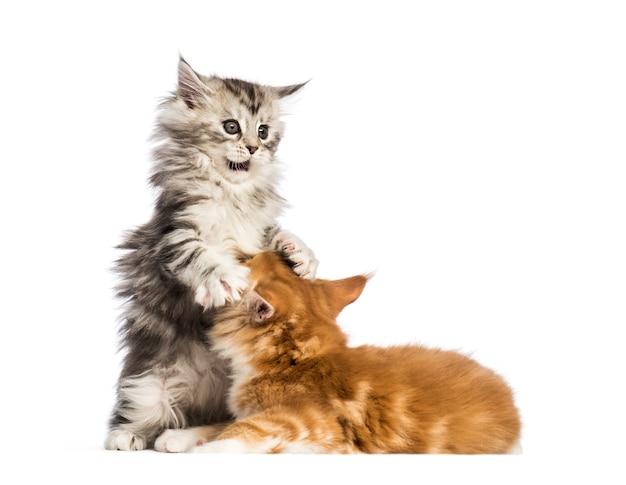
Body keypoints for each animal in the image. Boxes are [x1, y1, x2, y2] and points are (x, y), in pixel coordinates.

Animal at [106, 59, 316, 450]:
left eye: (263, 131)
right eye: (231, 127)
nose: (253, 148)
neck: (231, 195)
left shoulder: (257, 235)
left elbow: (279, 233)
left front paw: (301, 255)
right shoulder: (171, 236)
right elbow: (199, 254)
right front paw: (224, 279)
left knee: (225, 421)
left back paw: (184, 438)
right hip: (148, 386)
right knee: (148, 415)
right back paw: (130, 436)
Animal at [154, 251, 520, 452]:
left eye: (247, 261)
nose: (242, 254)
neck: (293, 360)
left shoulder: (310, 418)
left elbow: (243, 430)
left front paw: (203, 453)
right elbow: (221, 423)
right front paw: (180, 437)